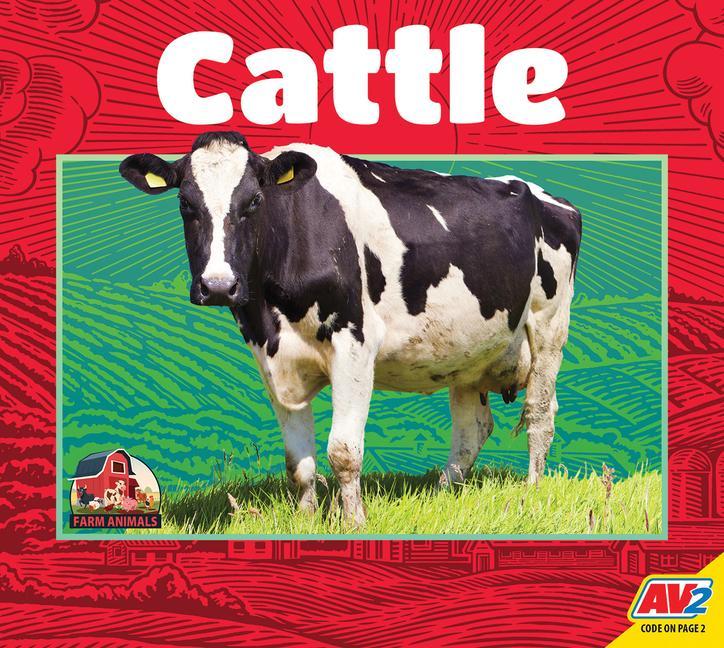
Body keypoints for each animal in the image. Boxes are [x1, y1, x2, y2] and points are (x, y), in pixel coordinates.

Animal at [120, 132, 582, 526]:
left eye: (254, 200)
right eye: (185, 203)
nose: (218, 286)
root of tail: (549, 197)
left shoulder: (354, 342)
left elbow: (343, 451)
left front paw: (354, 521)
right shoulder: (270, 357)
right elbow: (298, 460)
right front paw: (305, 521)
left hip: (549, 326)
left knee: (540, 413)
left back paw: (530, 491)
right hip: (468, 350)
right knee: (473, 428)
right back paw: (441, 493)